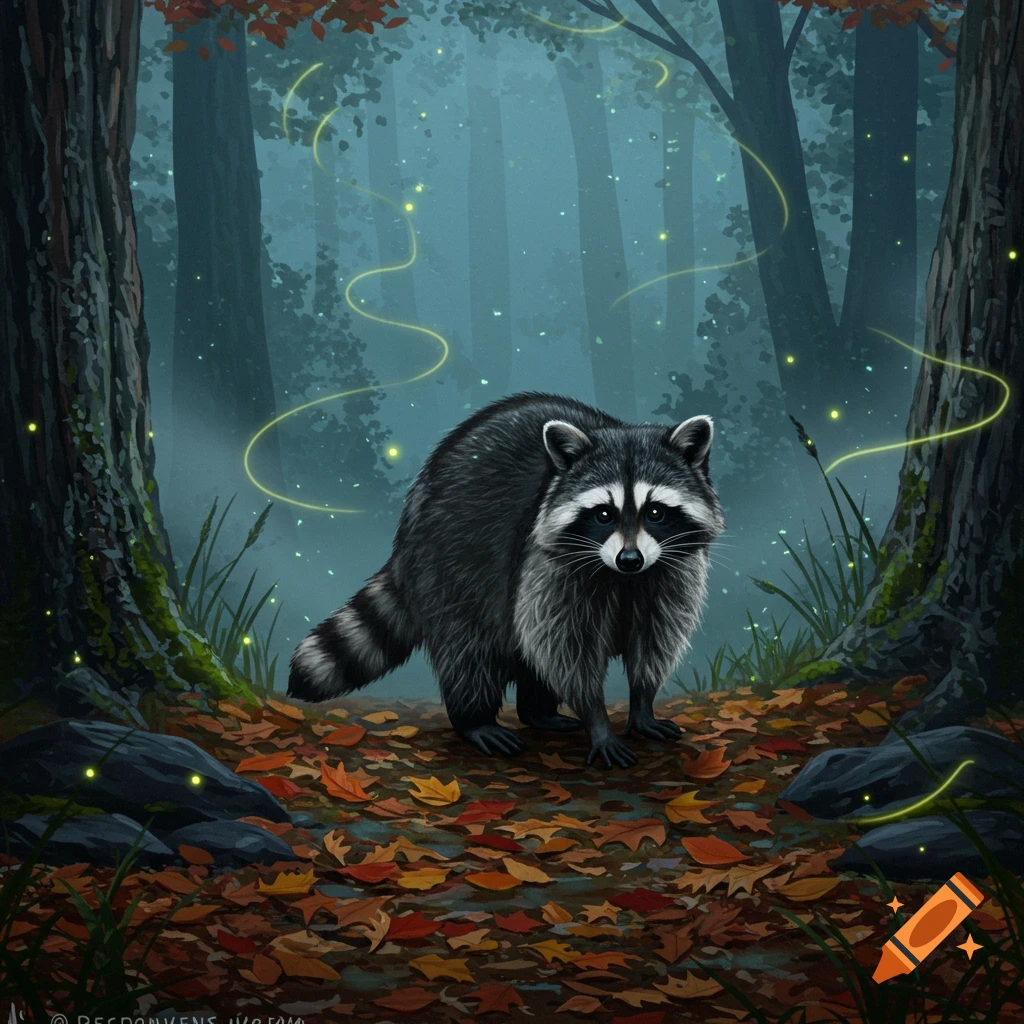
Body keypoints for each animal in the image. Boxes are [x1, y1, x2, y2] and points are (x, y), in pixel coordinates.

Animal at [288, 392, 725, 768]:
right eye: (604, 514)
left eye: (656, 512)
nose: (630, 559)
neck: (621, 578)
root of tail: (408, 526)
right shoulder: (547, 561)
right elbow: (567, 651)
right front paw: (596, 718)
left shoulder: (669, 573)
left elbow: (653, 640)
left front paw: (642, 702)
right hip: (451, 560)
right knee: (471, 647)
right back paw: (474, 719)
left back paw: (538, 712)